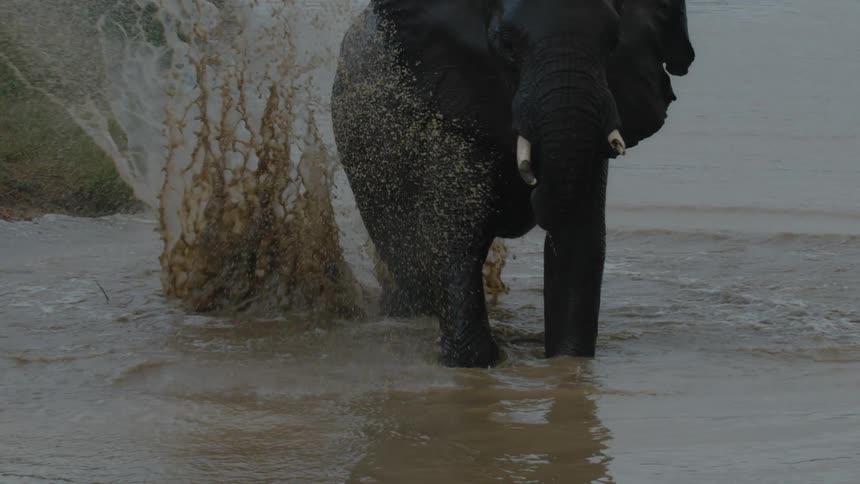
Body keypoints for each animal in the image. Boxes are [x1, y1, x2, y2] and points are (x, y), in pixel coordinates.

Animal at [331, 0, 695, 367]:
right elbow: (456, 233)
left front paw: (566, 362)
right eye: (507, 45)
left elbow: (581, 235)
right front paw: (476, 360)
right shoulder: (455, 99)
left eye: (613, 41)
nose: (533, 186)